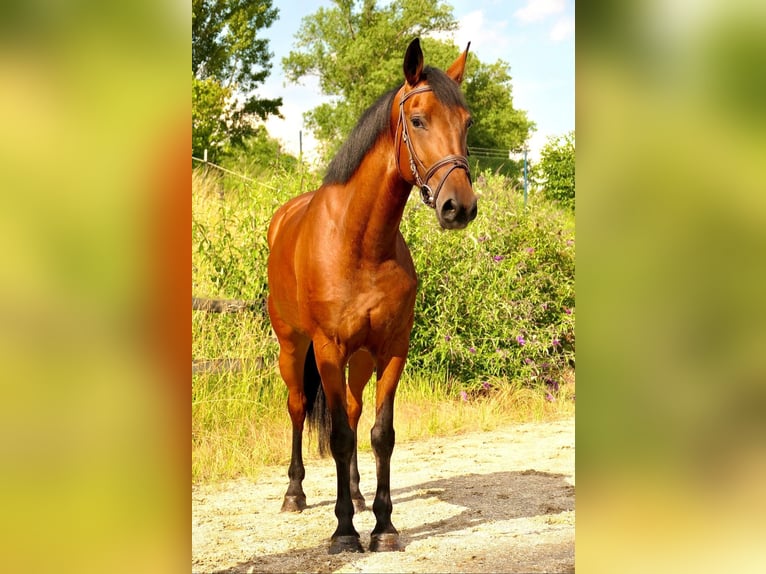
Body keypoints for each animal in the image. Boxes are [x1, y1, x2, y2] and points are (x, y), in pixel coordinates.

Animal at [268, 38, 476, 556]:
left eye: (467, 123)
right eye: (418, 120)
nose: (459, 207)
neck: (359, 242)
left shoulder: (391, 349)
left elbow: (380, 434)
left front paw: (382, 525)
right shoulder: (328, 348)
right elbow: (341, 436)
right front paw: (343, 531)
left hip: (359, 359)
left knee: (353, 407)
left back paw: (359, 495)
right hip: (292, 346)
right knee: (299, 408)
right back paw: (295, 494)